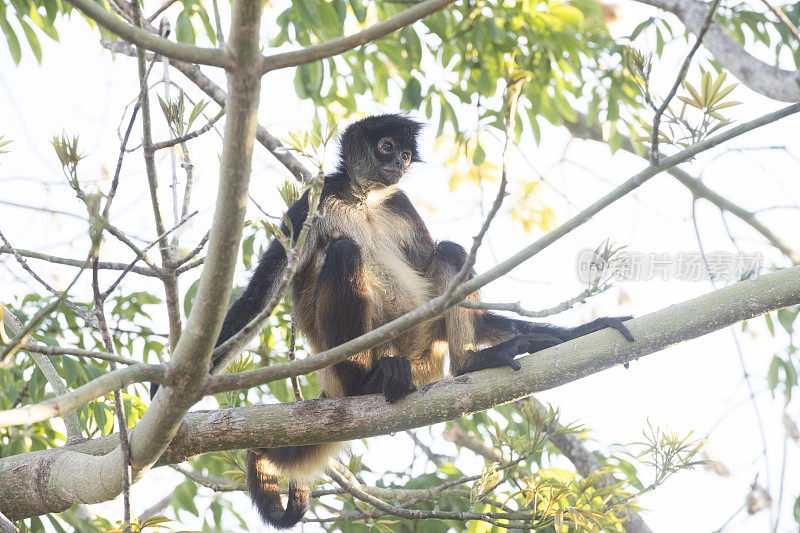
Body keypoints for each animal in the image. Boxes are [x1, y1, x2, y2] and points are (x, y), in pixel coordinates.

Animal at [209, 113, 636, 528]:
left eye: (405, 154)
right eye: (386, 145)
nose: (398, 163)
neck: (365, 199)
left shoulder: (400, 202)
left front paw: (584, 329)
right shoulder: (312, 203)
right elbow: (256, 298)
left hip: (425, 346)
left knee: (450, 252)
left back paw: (471, 362)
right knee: (345, 251)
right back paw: (366, 382)